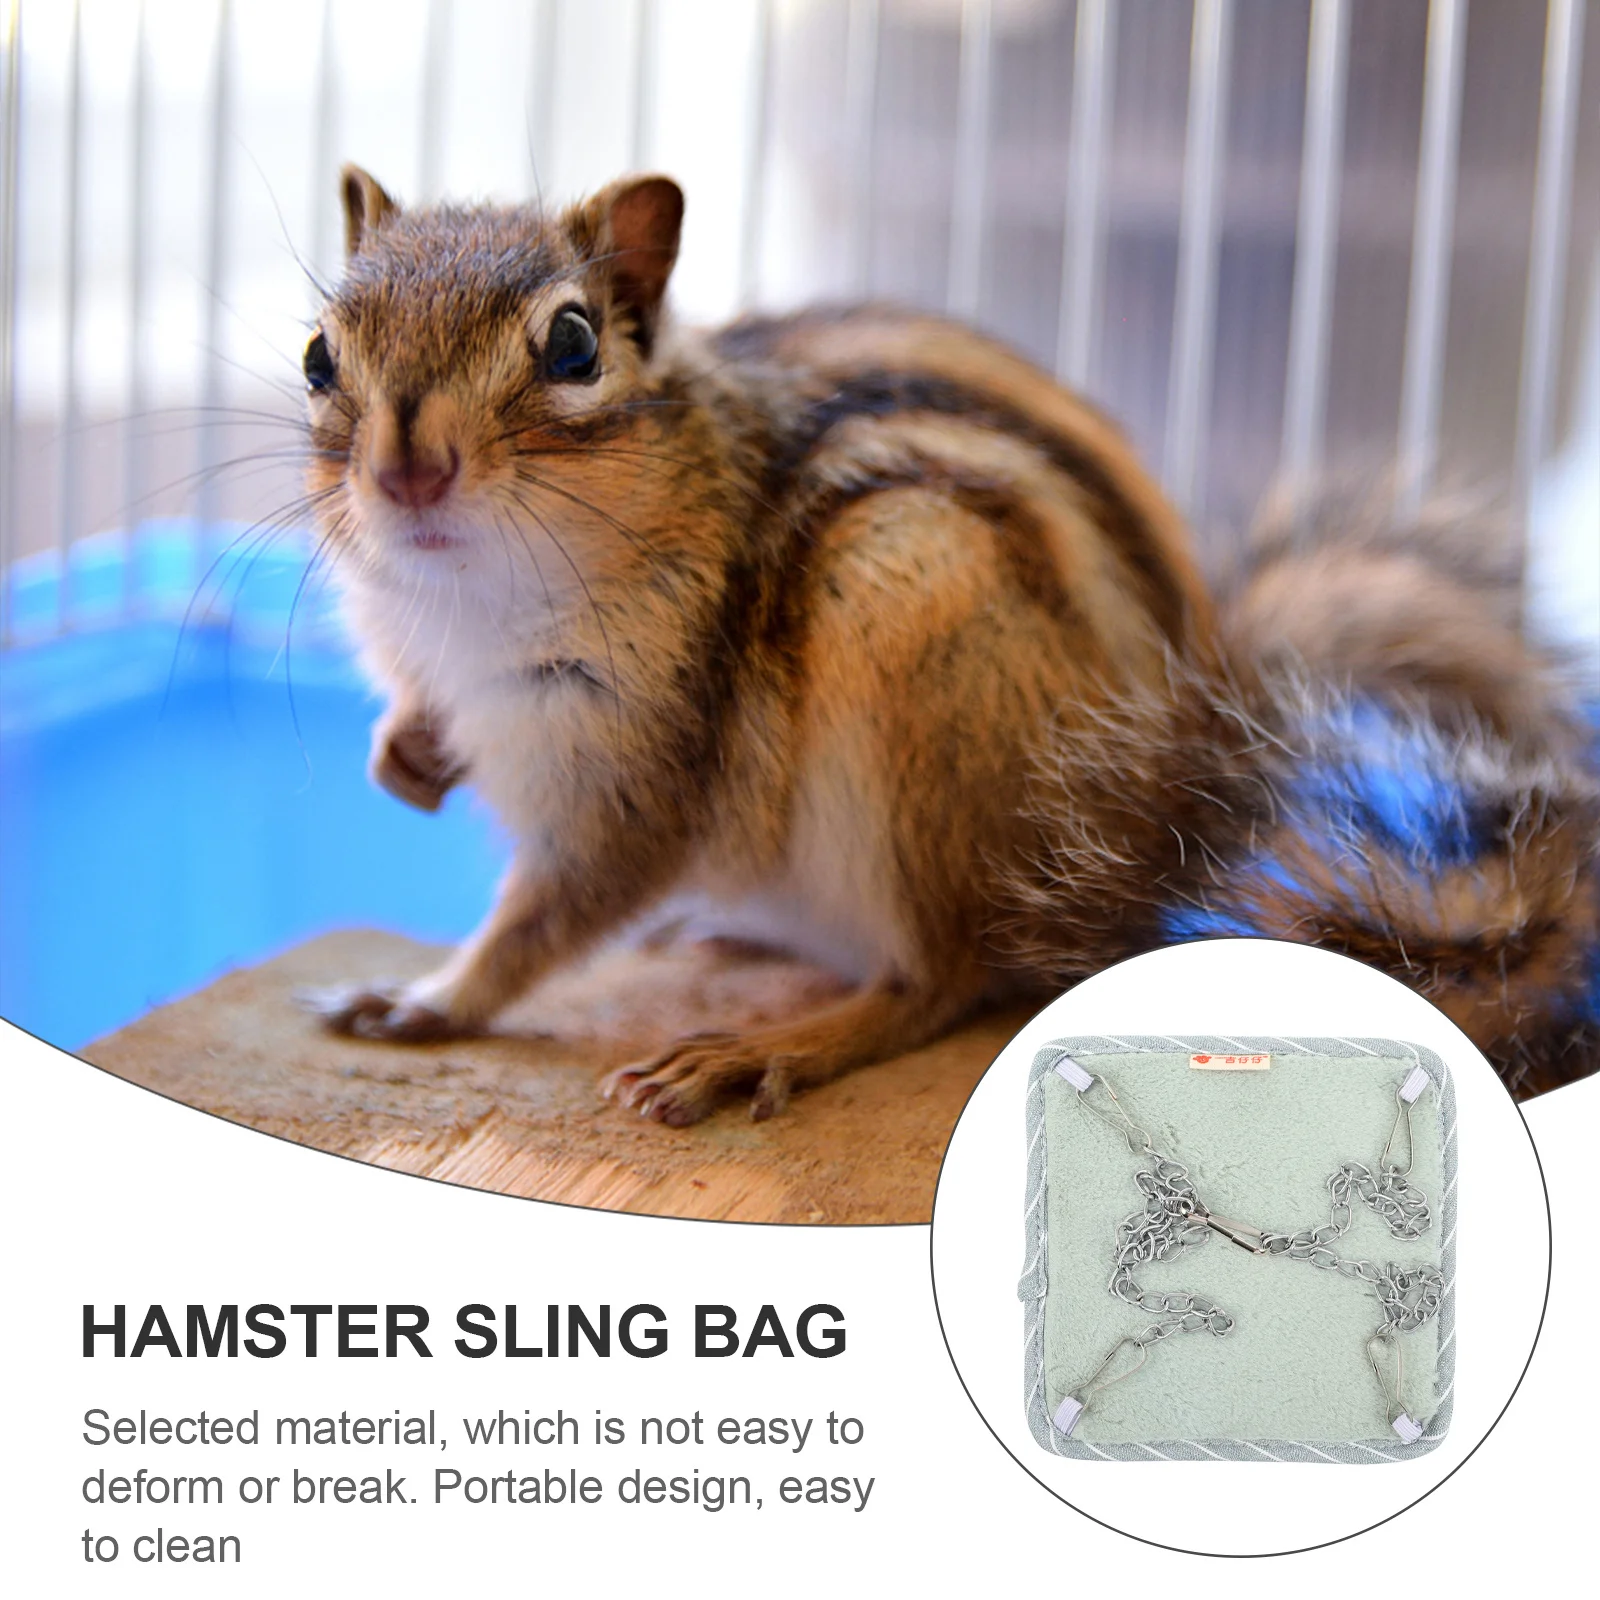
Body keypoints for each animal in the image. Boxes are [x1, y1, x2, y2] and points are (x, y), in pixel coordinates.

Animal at [299, 167, 1599, 1115]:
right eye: (318, 354)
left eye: (572, 347)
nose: (408, 469)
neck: (465, 606)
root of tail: (1184, 772)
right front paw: (406, 755)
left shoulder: (645, 764)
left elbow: (551, 912)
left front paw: (431, 996)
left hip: (904, 615)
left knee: (946, 977)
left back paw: (768, 1047)